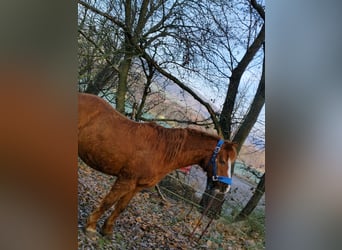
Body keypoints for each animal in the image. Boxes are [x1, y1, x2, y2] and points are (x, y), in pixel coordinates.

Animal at [78, 93, 236, 237]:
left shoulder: (136, 186)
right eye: (222, 161)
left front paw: (106, 231)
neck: (162, 150)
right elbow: (108, 202)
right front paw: (91, 227)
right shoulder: (126, 180)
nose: (225, 187)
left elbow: (121, 207)